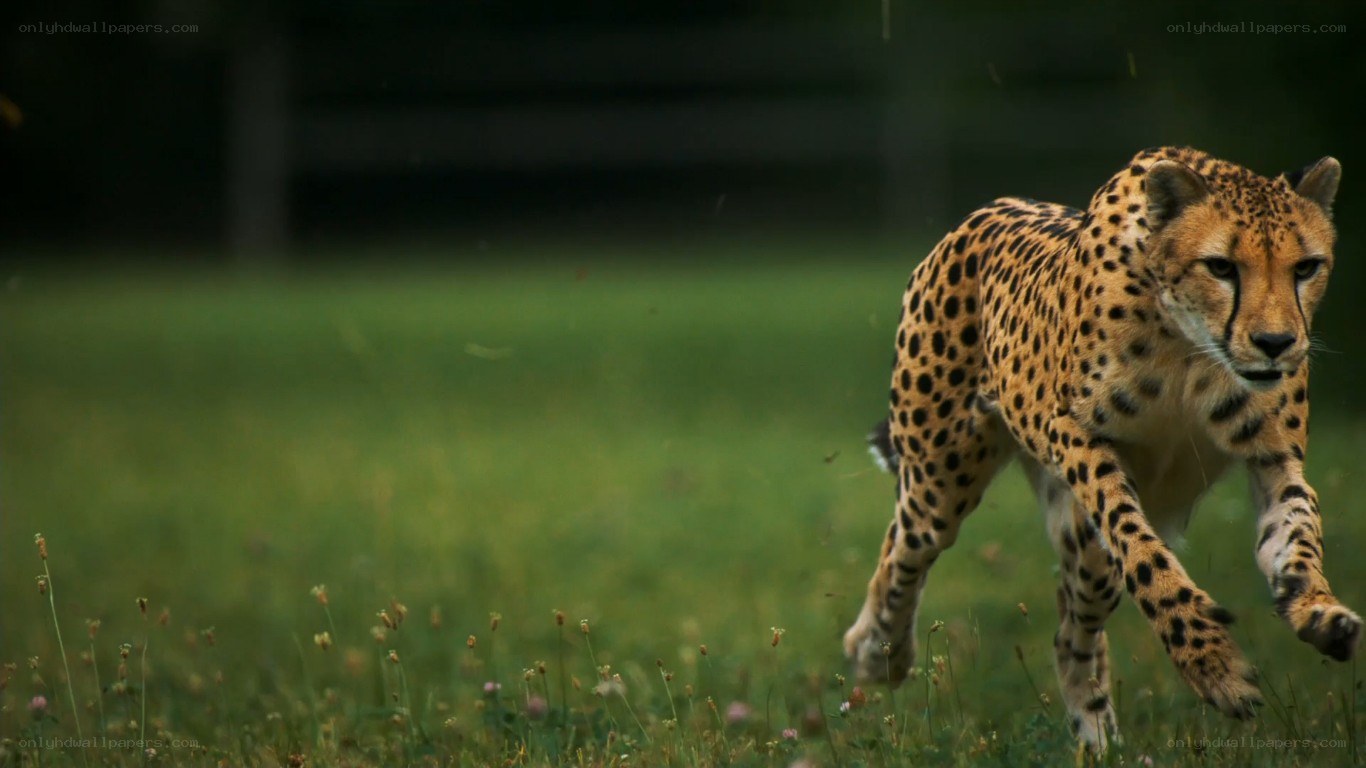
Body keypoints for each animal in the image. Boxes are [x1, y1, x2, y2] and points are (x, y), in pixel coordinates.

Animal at [843, 146, 1359, 750]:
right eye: (1221, 267)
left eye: (1305, 267)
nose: (1275, 344)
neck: (1191, 348)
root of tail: (980, 214)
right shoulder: (1075, 437)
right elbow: (1143, 554)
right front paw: (1213, 665)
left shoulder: (1275, 460)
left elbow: (1298, 536)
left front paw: (1317, 610)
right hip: (940, 481)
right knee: (902, 551)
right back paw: (878, 652)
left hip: (1083, 549)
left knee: (1072, 631)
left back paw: (1097, 736)